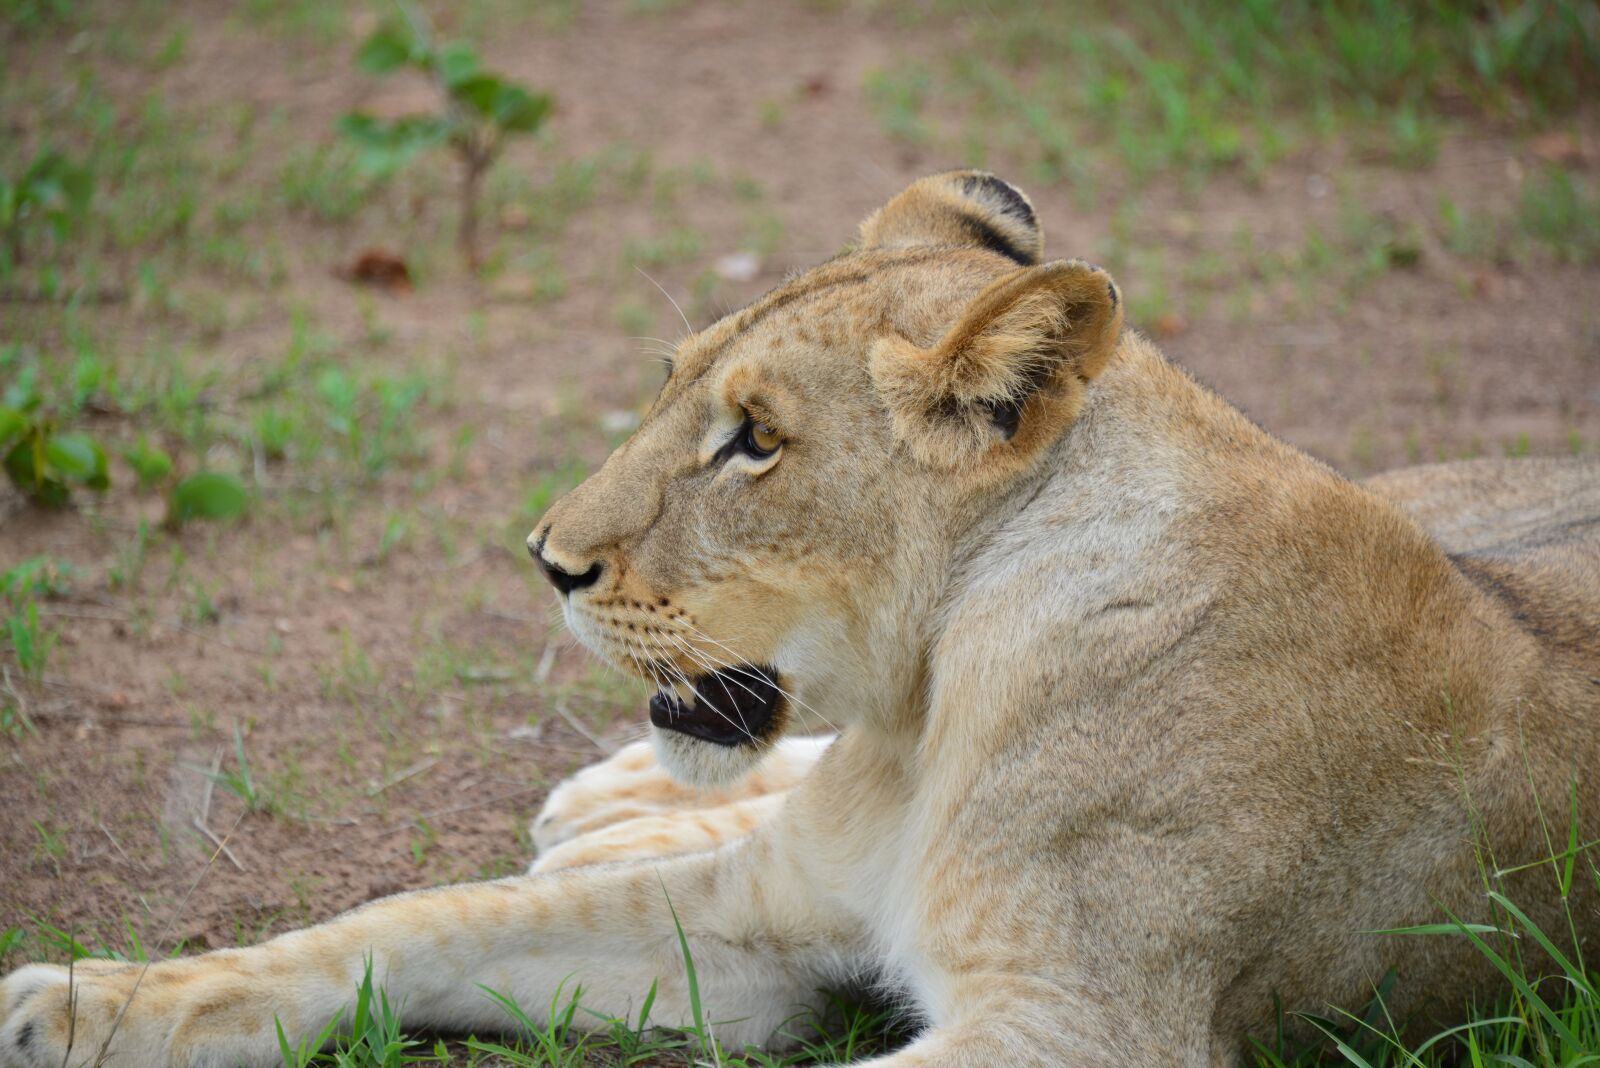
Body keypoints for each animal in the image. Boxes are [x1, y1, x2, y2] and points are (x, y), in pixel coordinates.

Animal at [2, 171, 1596, 1067]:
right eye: (670, 382)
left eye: (754, 442)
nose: (544, 561)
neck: (929, 706)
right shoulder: (753, 924)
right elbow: (404, 922)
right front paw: (84, 1007)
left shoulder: (1086, 1025)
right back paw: (606, 807)